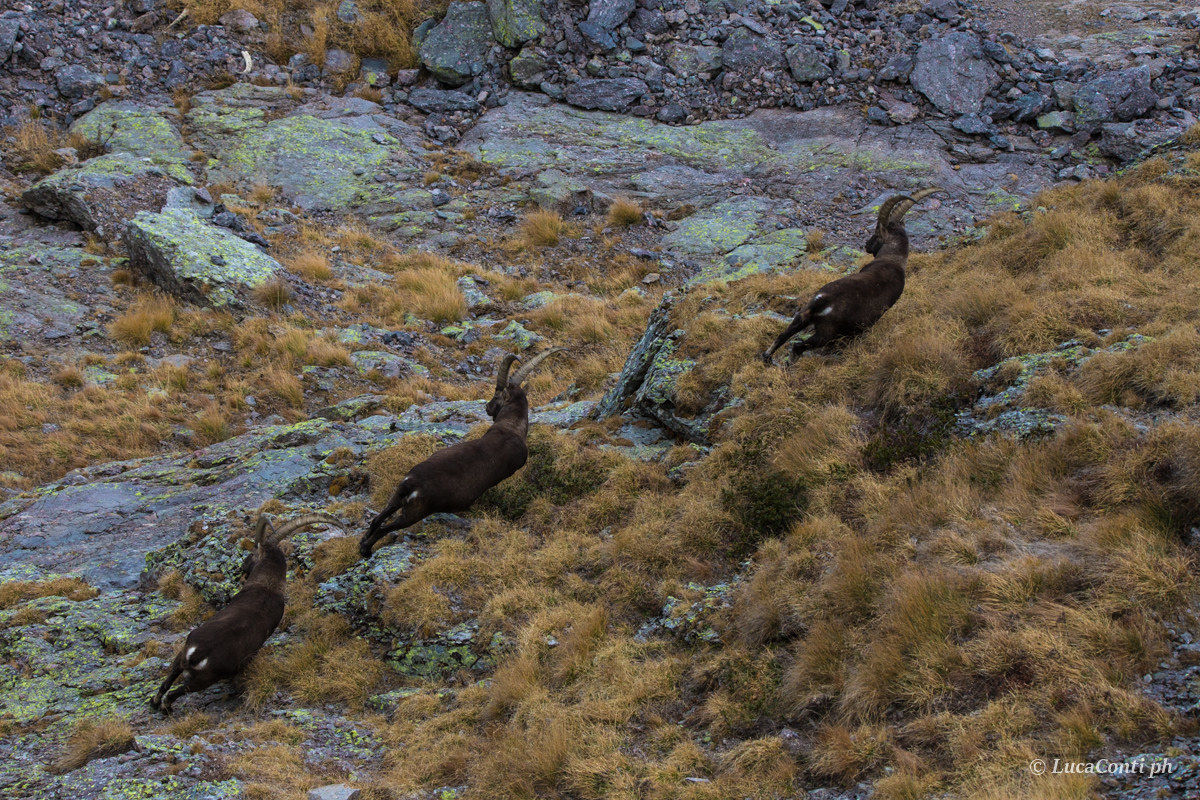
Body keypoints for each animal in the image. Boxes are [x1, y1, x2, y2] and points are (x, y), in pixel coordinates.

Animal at [151, 513, 346, 714]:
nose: (242, 567)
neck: (267, 586)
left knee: (168, 680)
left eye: (252, 552)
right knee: (176, 691)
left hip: (186, 654)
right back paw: (166, 707)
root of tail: (197, 652)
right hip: (208, 676)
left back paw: (155, 703)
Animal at [359, 348, 564, 558]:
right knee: (385, 527)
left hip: (398, 496)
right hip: (417, 510)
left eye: (496, 395)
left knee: (377, 518)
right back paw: (366, 550)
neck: (510, 427)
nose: (487, 407)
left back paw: (362, 543)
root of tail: (412, 484)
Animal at [762, 187, 943, 364]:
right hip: (827, 332)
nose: (867, 245)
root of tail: (823, 302)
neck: (892, 260)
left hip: (804, 313)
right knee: (799, 346)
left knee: (785, 334)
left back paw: (767, 356)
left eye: (876, 234)